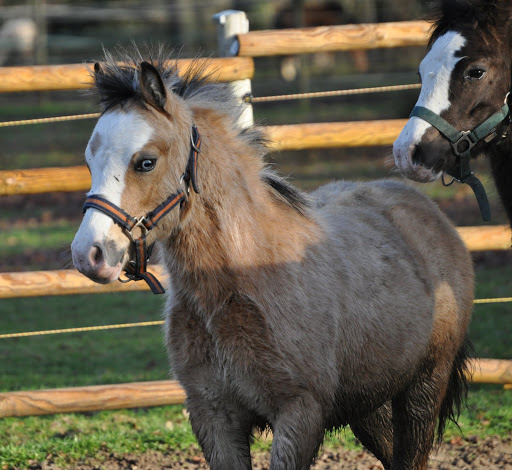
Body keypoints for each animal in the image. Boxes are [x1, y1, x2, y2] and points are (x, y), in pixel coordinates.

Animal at [70, 49, 474, 468]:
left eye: (146, 162)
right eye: (89, 161)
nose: (89, 254)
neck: (242, 277)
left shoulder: (300, 413)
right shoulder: (213, 415)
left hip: (423, 389)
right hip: (368, 402)